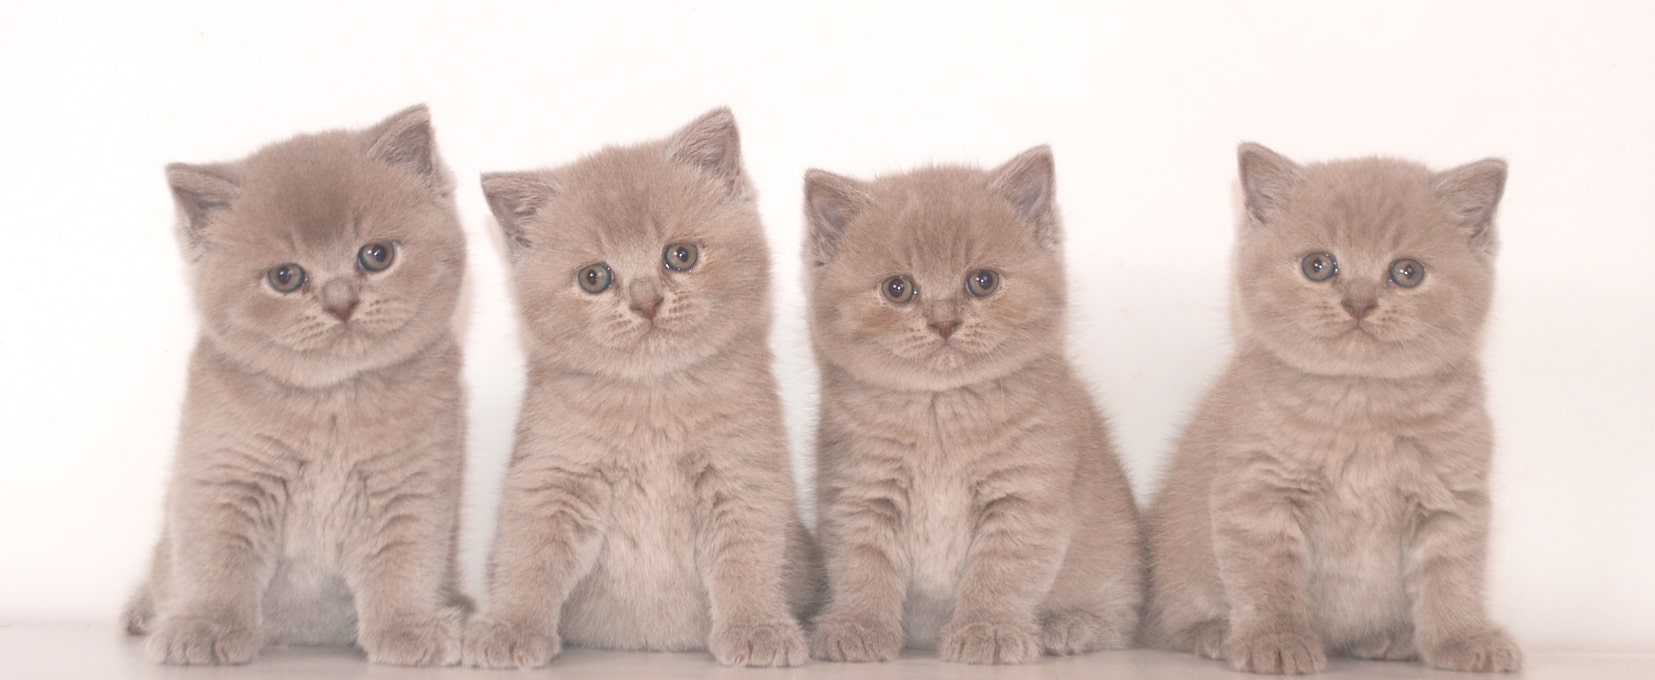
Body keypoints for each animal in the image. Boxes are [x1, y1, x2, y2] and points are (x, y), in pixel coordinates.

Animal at [122, 106, 470, 665]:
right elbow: (215, 561)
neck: (331, 403)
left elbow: (405, 563)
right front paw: (206, 627)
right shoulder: (224, 479)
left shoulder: (410, 486)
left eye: (376, 255)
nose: (341, 302)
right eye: (285, 277)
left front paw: (408, 627)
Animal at [463, 109, 817, 668]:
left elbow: (747, 556)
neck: (652, 399)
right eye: (594, 277)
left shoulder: (742, 473)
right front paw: (511, 627)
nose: (646, 301)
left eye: (681, 255)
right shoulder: (554, 475)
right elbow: (529, 554)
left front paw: (757, 627)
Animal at [804, 148, 1145, 665]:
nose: (944, 322)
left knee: (1120, 615)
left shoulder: (1025, 495)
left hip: (1113, 555)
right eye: (898, 288)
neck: (940, 411)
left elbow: (1000, 571)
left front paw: (989, 629)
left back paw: (1070, 625)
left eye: (982, 282)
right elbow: (862, 565)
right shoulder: (861, 494)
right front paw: (858, 625)